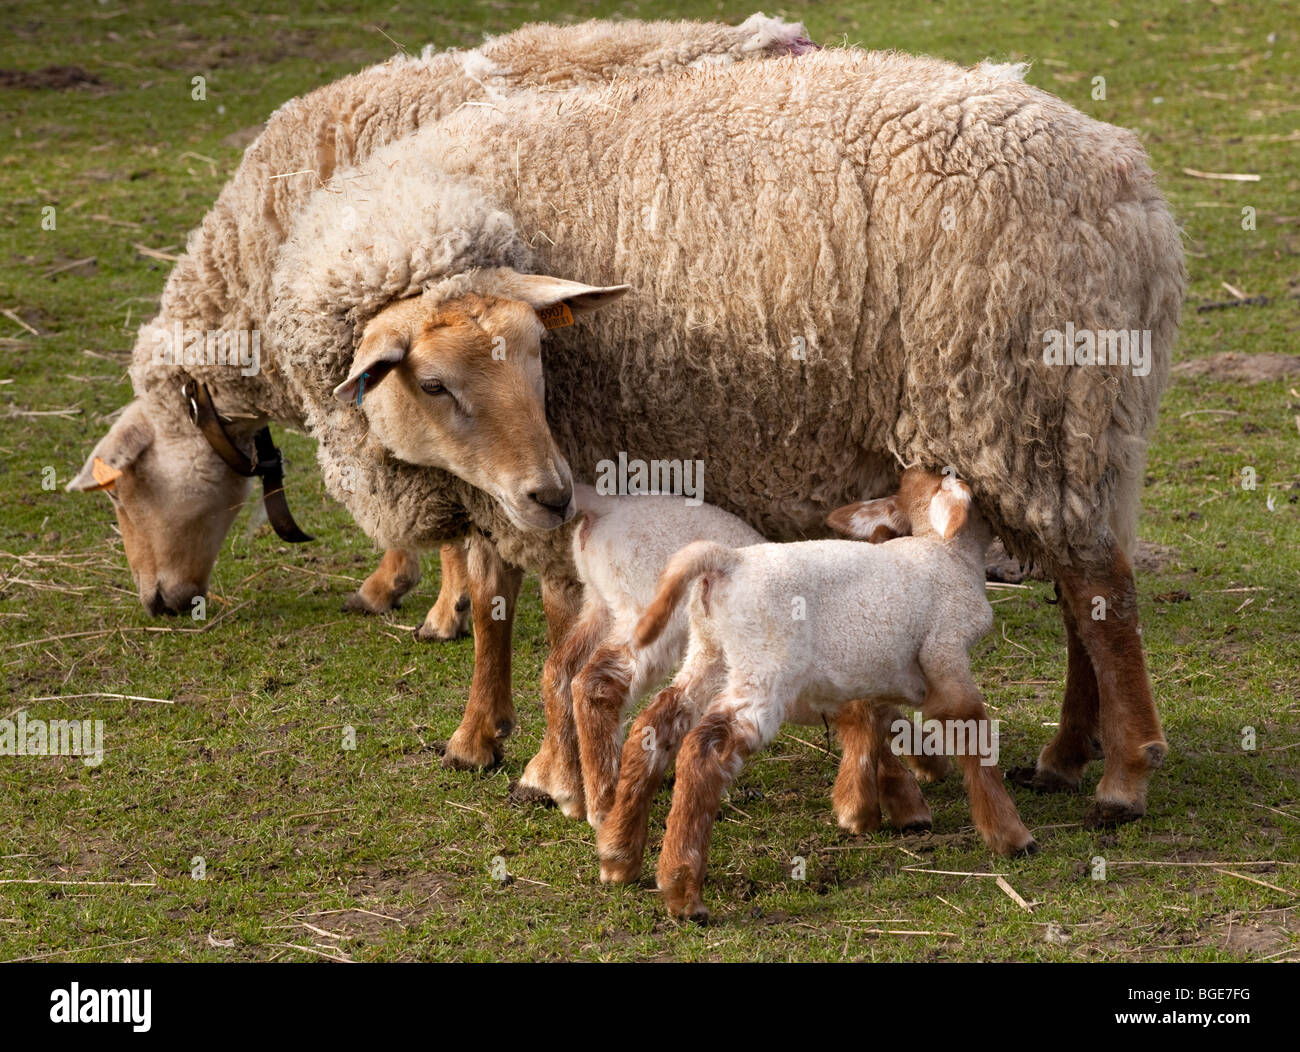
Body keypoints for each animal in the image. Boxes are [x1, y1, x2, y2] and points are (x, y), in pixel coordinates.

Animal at [557, 483, 938, 834]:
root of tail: (607, 505)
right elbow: (876, 721)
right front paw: (905, 796)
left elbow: (879, 721)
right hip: (645, 615)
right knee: (597, 682)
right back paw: (603, 805)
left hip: (600, 604)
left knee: (563, 666)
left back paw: (567, 790)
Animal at [597, 467, 1033, 922]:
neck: (948, 552)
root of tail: (728, 561)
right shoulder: (945, 654)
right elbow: (972, 733)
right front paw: (1009, 835)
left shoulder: (867, 670)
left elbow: (869, 726)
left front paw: (860, 811)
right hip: (763, 670)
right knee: (703, 751)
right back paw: (682, 890)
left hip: (710, 654)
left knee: (654, 726)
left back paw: (618, 854)